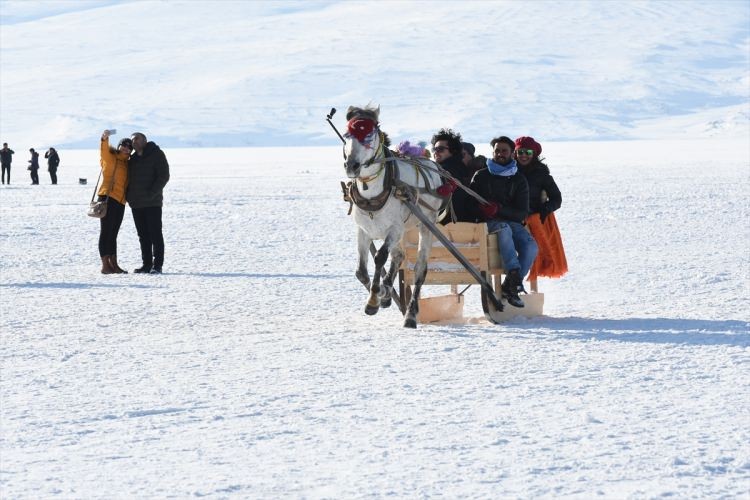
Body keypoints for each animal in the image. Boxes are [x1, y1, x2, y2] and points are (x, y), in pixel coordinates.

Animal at [346, 105, 446, 328]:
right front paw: (381, 294)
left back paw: (411, 314)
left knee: (419, 269)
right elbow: (361, 271)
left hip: (426, 225)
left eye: (368, 135)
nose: (352, 166)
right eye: (347, 135)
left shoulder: (394, 229)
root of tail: (432, 164)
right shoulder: (363, 230)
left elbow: (380, 257)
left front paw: (373, 300)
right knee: (399, 255)